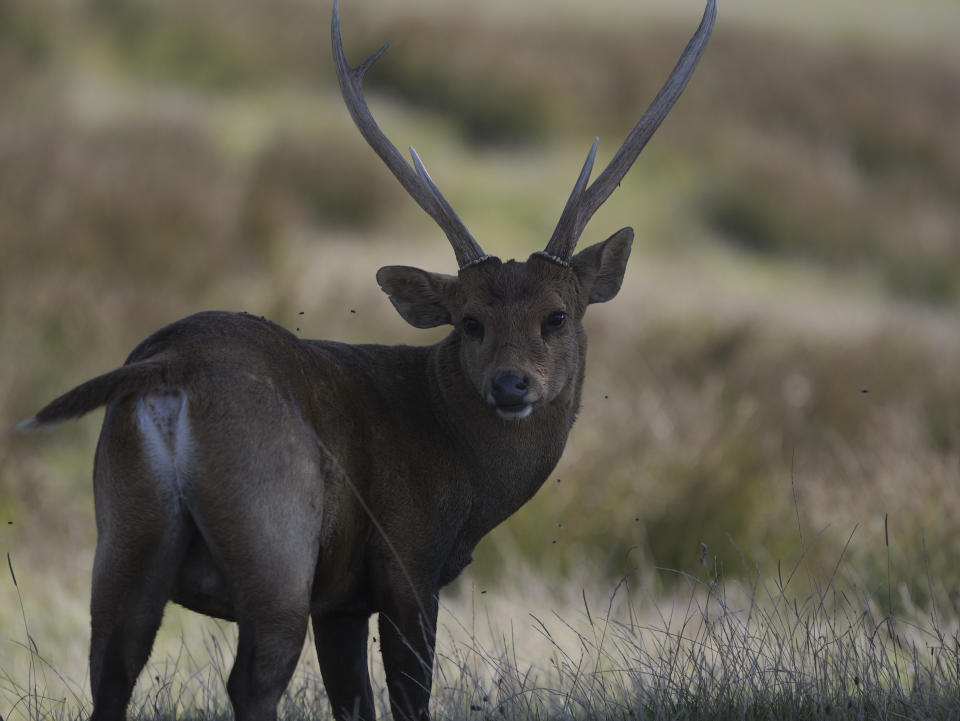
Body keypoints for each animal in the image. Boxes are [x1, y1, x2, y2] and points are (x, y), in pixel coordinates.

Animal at [18, 1, 716, 720]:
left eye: (556, 315)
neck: (462, 469)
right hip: (274, 537)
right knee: (251, 679)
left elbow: (353, 699)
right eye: (470, 321)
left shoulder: (342, 599)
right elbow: (408, 697)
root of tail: (172, 368)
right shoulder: (407, 561)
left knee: (112, 667)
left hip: (124, 535)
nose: (510, 384)